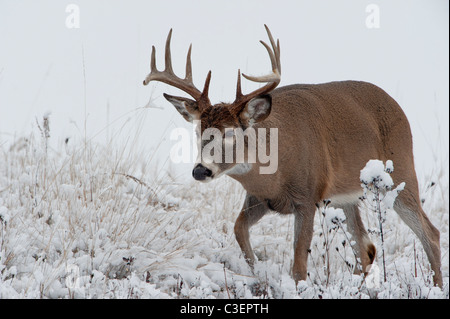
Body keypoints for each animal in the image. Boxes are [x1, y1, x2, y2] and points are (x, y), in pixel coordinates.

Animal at [143, 26, 442, 288]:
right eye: (198, 131)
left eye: (230, 133)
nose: (200, 170)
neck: (274, 167)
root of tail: (397, 105)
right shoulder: (261, 197)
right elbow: (239, 228)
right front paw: (256, 270)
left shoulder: (307, 197)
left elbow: (299, 265)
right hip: (347, 194)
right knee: (366, 246)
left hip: (400, 170)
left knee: (431, 234)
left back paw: (436, 286)